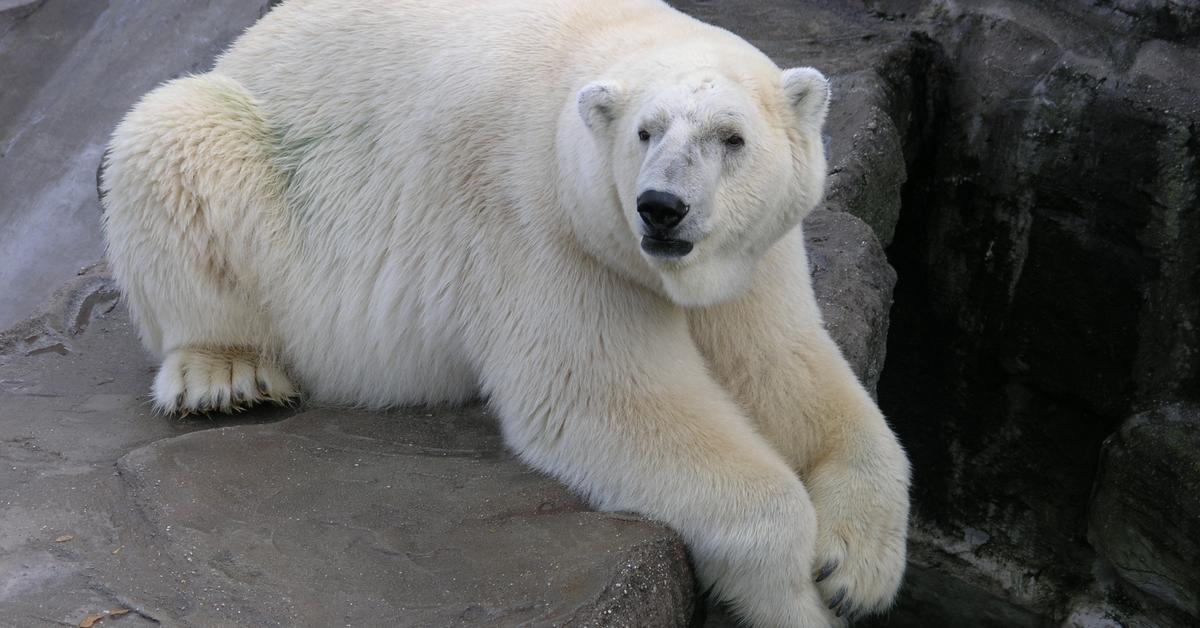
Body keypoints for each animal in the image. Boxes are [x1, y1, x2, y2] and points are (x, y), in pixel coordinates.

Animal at [100, 0, 907, 624]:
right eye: (645, 131)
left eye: (731, 138)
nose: (661, 207)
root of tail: (241, 45)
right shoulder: (543, 224)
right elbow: (606, 396)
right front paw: (796, 597)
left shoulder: (754, 254)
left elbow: (787, 365)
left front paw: (854, 568)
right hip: (263, 164)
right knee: (174, 131)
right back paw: (225, 373)